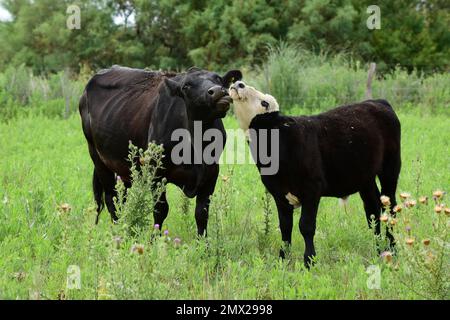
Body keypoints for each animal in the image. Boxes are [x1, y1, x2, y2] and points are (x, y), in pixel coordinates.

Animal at [81, 65, 243, 235]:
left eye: (218, 79)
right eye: (186, 86)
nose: (217, 91)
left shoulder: (211, 172)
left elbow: (202, 213)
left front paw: (203, 242)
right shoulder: (155, 171)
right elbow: (160, 210)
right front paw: (155, 239)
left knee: (121, 198)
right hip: (97, 157)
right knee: (111, 199)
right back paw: (117, 232)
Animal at [230, 81, 402, 266]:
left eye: (264, 103)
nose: (239, 84)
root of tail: (378, 102)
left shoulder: (312, 189)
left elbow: (306, 226)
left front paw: (309, 260)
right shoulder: (279, 194)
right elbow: (285, 227)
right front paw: (283, 259)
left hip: (390, 169)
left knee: (390, 207)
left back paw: (392, 248)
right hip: (364, 177)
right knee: (373, 209)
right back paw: (378, 248)